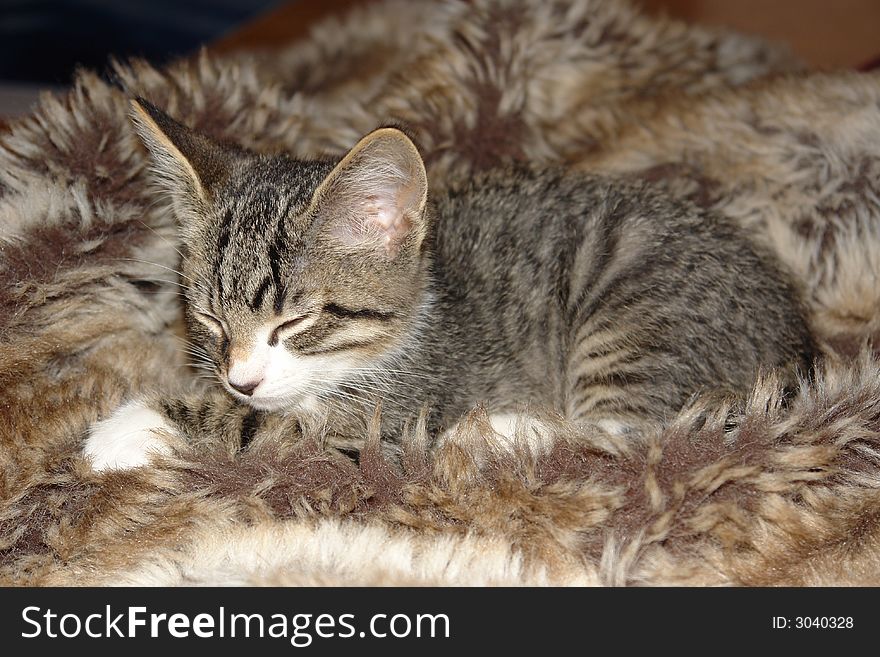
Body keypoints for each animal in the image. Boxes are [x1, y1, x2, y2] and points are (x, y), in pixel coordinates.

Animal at [79, 96, 816, 466]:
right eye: (209, 319)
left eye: (297, 321)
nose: (242, 380)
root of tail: (799, 348)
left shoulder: (389, 419)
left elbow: (278, 433)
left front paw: (128, 426)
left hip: (636, 315)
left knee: (642, 438)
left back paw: (502, 433)